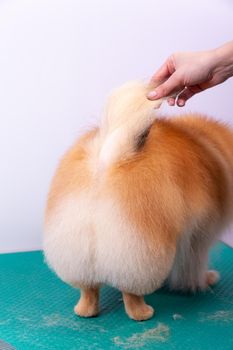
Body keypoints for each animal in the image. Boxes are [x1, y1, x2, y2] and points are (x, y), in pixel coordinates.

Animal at [43, 81, 233, 320]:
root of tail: (110, 156)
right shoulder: (198, 236)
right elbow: (192, 266)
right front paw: (205, 279)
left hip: (78, 247)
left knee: (89, 289)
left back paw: (85, 310)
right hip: (141, 250)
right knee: (131, 291)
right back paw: (142, 312)